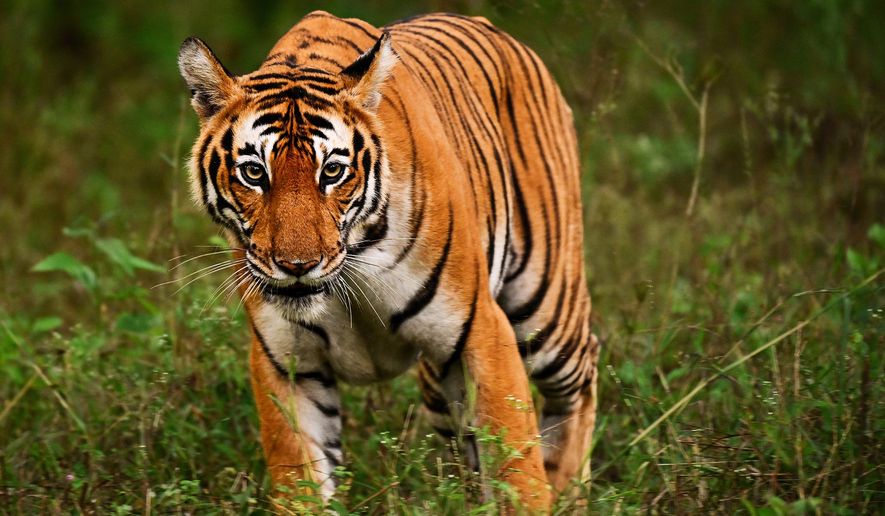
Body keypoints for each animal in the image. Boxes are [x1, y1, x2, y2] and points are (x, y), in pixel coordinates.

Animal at [177, 10, 599, 511]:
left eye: (332, 171)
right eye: (254, 172)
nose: (298, 265)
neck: (353, 262)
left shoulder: (481, 330)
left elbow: (517, 472)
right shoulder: (286, 360)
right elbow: (299, 478)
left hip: (547, 307)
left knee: (579, 378)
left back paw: (570, 492)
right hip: (443, 387)